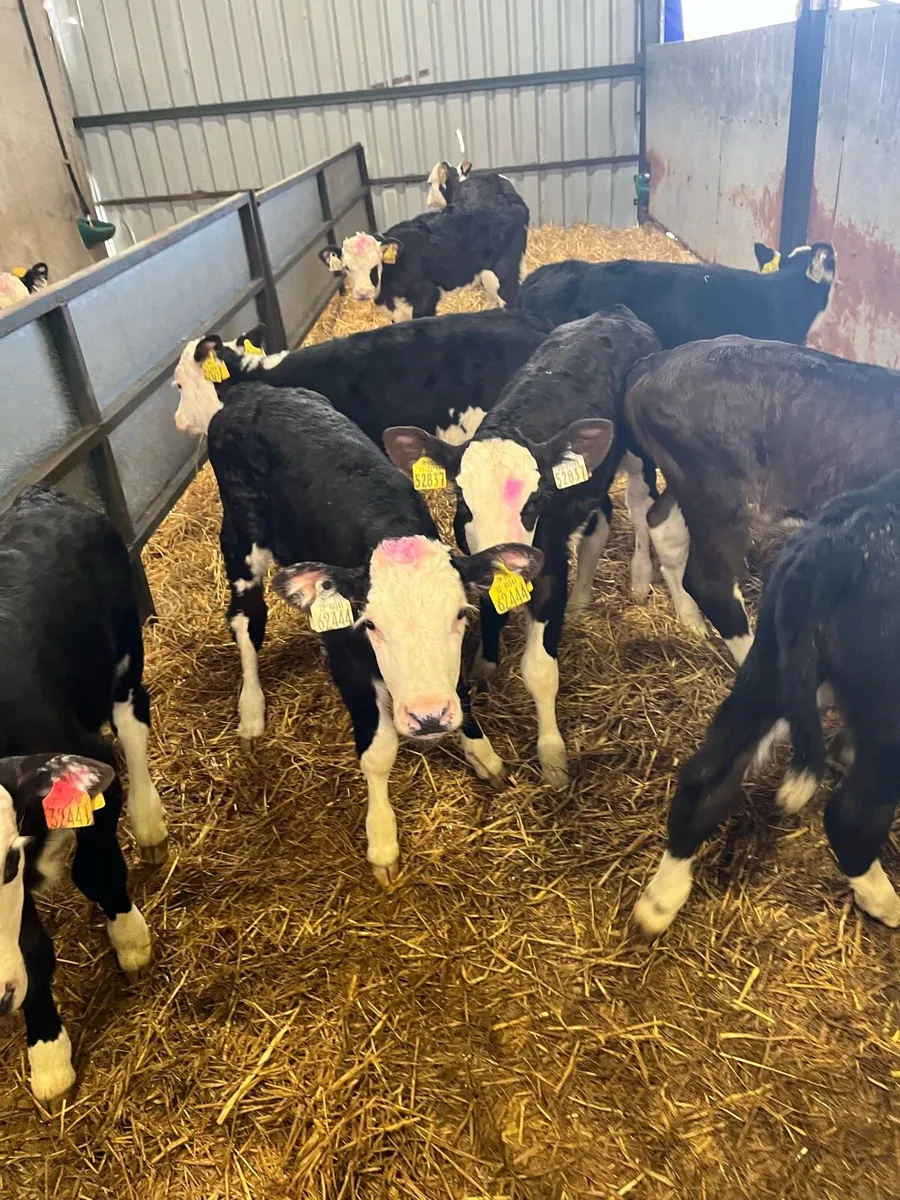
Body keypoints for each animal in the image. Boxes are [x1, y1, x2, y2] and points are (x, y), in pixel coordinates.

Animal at [0, 486, 167, 1111]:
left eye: (4, 863)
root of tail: (39, 495)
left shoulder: (92, 765)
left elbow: (97, 870)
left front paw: (130, 939)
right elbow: (31, 947)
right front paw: (47, 1053)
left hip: (122, 659)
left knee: (134, 720)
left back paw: (149, 824)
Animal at [206, 384, 542, 883]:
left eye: (461, 616)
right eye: (370, 624)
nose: (428, 717)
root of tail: (256, 391)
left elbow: (461, 690)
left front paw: (482, 753)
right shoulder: (344, 653)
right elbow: (379, 751)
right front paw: (382, 839)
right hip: (240, 540)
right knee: (246, 621)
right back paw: (251, 711)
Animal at [383, 308, 661, 789]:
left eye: (534, 502)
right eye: (461, 500)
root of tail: (615, 311)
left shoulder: (547, 573)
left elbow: (540, 670)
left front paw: (552, 754)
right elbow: (491, 615)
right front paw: (485, 663)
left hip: (638, 455)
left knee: (640, 505)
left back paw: (636, 579)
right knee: (600, 519)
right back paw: (582, 599)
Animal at [634, 469, 900, 936]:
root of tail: (833, 549)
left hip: (768, 668)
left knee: (705, 777)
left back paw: (658, 903)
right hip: (888, 715)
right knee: (850, 816)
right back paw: (885, 901)